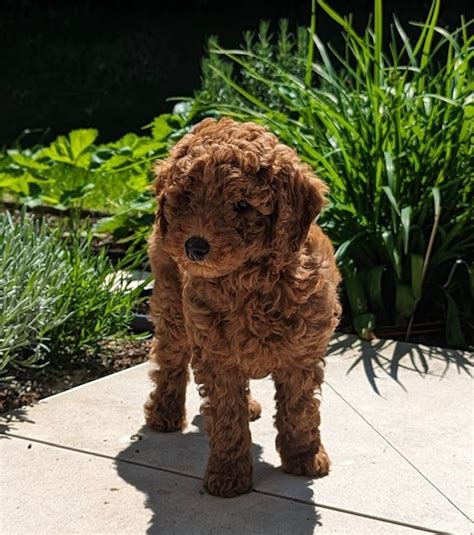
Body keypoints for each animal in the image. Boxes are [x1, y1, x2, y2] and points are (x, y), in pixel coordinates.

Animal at [144, 117, 340, 498]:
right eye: (187, 197)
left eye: (243, 206)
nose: (195, 246)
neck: (250, 280)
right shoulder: (217, 356)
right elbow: (226, 416)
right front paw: (228, 474)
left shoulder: (301, 354)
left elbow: (299, 408)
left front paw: (304, 457)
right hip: (172, 302)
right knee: (170, 358)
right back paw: (164, 412)